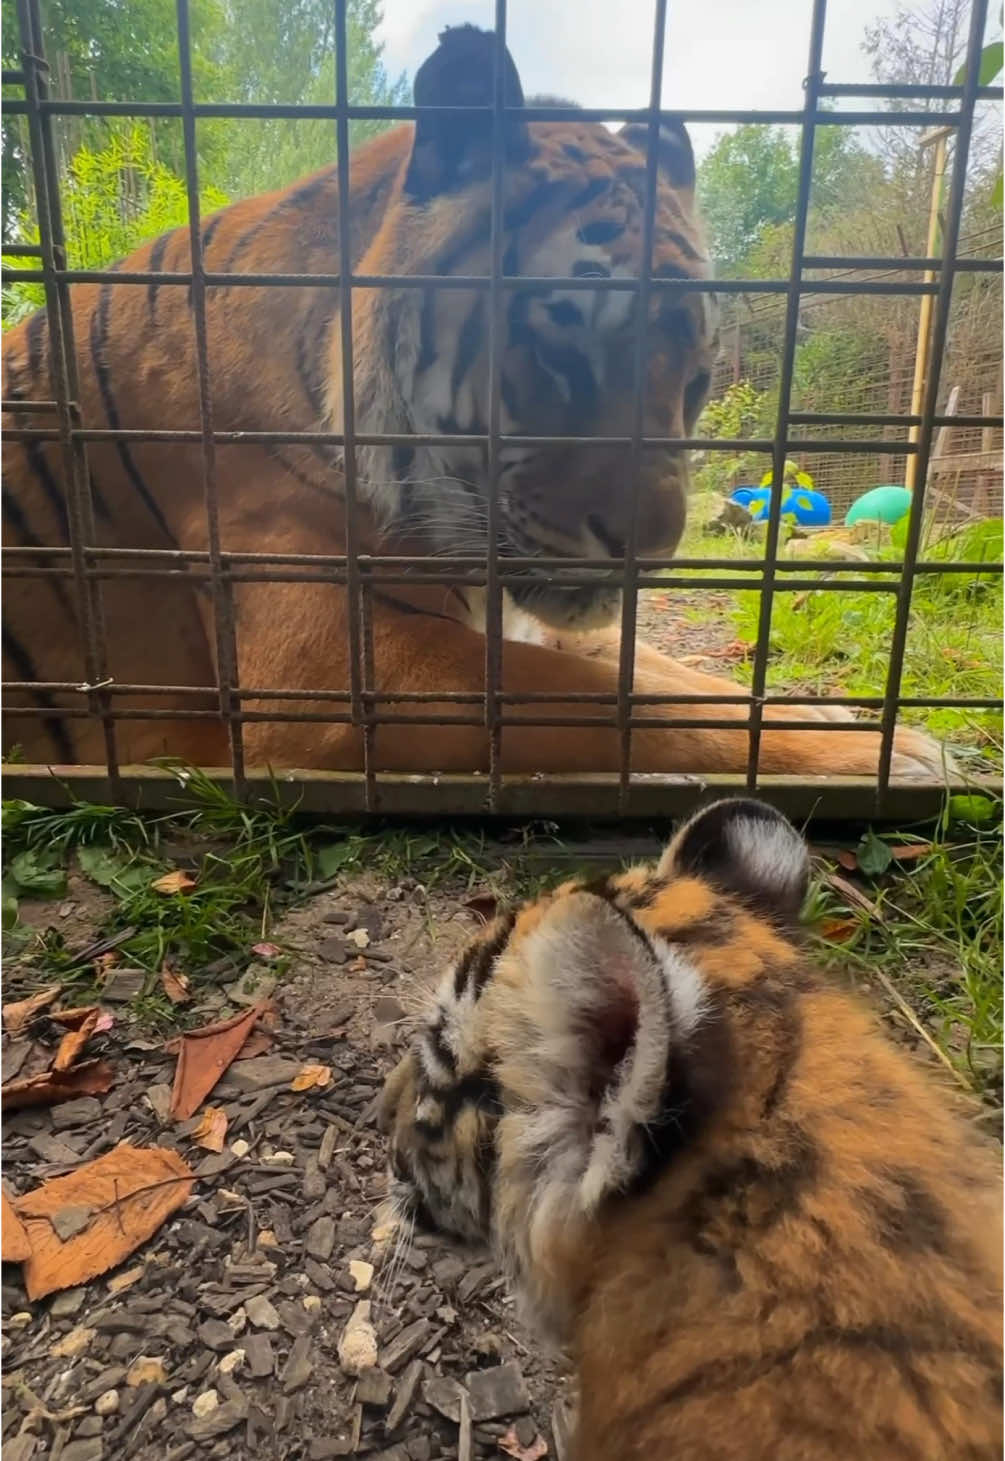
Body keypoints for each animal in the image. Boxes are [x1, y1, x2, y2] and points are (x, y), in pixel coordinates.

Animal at [0, 19, 946, 777]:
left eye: (696, 379)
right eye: (561, 349)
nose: (648, 555)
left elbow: (656, 671)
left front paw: (858, 720)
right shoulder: (338, 669)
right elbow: (615, 698)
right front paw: (892, 752)